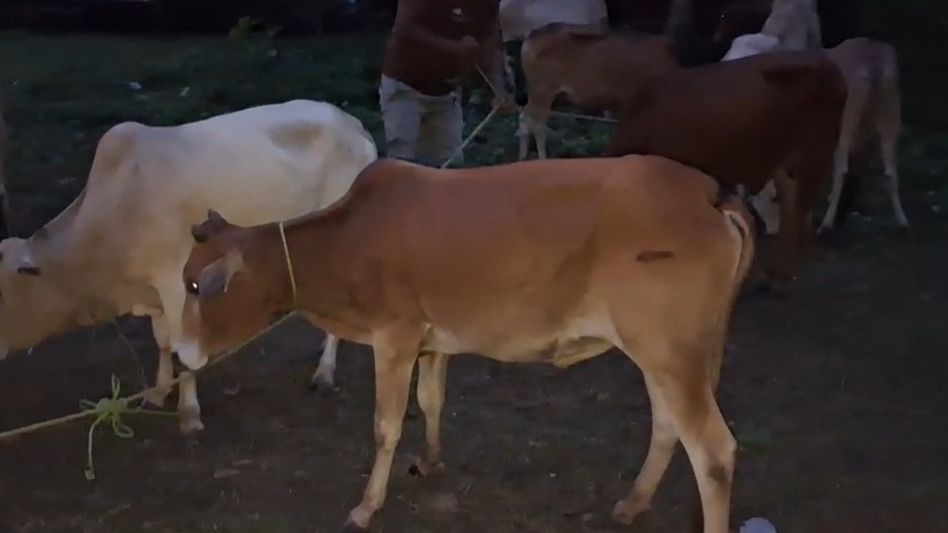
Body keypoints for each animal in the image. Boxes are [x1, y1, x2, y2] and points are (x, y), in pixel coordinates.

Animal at [0, 100, 377, 432]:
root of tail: (354, 124)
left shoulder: (176, 282)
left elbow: (184, 348)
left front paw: (189, 414)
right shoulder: (154, 290)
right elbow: (164, 341)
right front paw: (158, 391)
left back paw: (324, 372)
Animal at [172, 155, 756, 533]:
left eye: (196, 286)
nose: (178, 355)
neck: (348, 242)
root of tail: (710, 194)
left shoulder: (395, 337)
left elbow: (385, 426)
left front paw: (365, 507)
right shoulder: (432, 342)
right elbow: (432, 400)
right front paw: (429, 460)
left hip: (669, 352)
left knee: (714, 452)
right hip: (664, 356)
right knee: (668, 426)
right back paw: (632, 504)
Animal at [517, 23, 678, 160]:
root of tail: (531, 37)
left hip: (550, 96)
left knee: (524, 117)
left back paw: (522, 157)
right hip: (543, 92)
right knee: (537, 125)